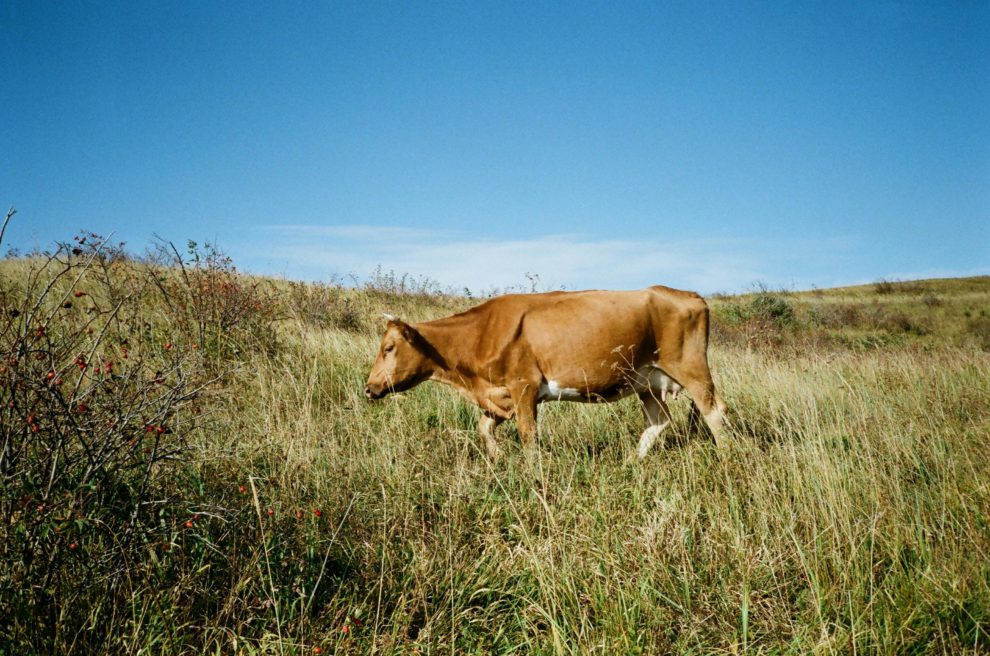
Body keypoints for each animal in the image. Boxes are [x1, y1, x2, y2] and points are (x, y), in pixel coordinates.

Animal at [364, 284, 728, 458]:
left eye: (389, 348)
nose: (369, 387)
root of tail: (687, 294)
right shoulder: (500, 394)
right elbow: (483, 428)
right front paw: (498, 457)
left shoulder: (523, 386)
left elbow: (528, 435)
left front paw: (531, 473)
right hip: (647, 381)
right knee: (658, 420)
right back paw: (631, 463)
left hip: (691, 367)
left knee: (715, 410)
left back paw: (726, 457)